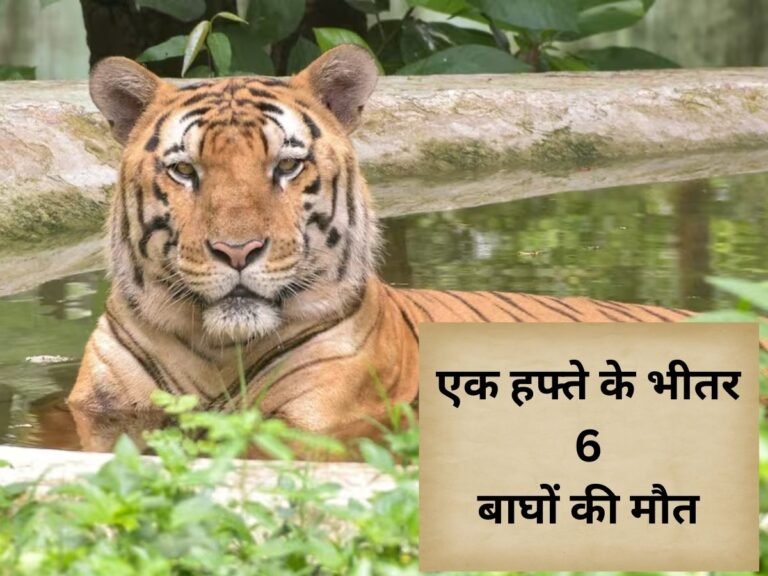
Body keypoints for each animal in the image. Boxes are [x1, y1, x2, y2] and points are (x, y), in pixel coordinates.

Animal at [67, 45, 694, 450]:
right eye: (185, 171)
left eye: (287, 166)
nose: (237, 251)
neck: (222, 350)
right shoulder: (98, 407)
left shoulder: (320, 415)